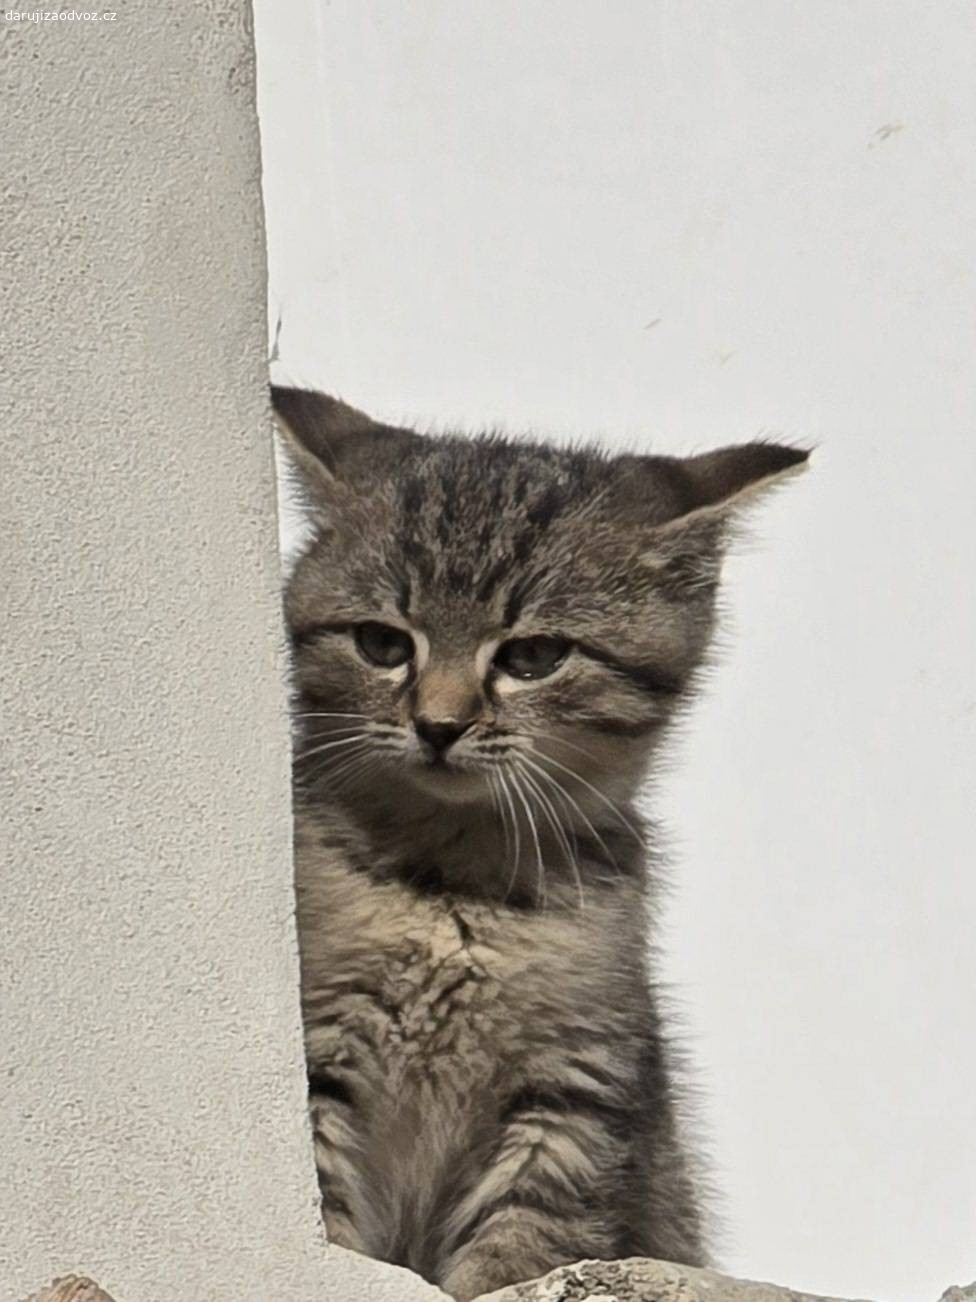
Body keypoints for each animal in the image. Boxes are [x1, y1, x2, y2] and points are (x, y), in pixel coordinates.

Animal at [275, 385, 812, 1302]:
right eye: (383, 643)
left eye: (533, 656)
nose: (439, 725)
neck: (452, 886)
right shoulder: (321, 1048)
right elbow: (332, 1227)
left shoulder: (576, 1090)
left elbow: (525, 1247)